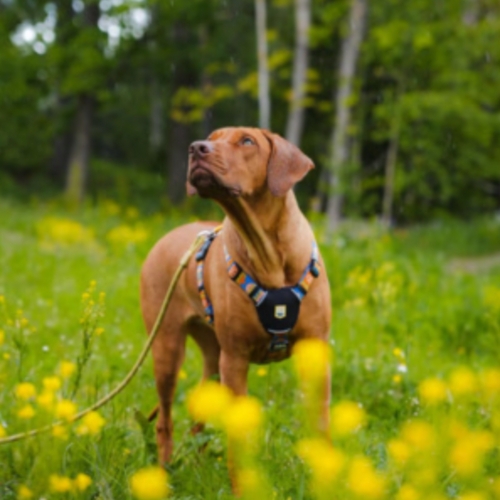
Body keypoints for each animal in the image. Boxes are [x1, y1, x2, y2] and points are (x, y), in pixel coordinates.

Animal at [140, 126, 332, 464]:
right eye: (210, 138)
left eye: (247, 141)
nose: (196, 148)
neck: (268, 255)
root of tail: (165, 237)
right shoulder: (235, 360)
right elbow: (238, 440)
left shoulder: (316, 352)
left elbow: (321, 425)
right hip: (167, 346)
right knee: (165, 419)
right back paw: (164, 468)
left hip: (212, 354)